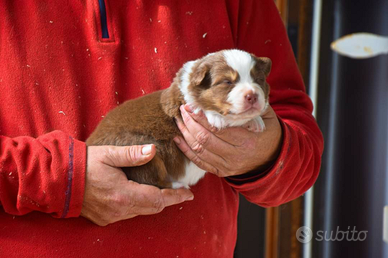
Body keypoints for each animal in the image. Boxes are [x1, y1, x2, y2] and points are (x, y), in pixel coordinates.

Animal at [86, 49, 272, 188]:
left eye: (258, 79)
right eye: (227, 82)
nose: (252, 96)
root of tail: (91, 142)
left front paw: (256, 121)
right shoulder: (178, 104)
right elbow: (201, 108)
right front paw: (216, 118)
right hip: (147, 152)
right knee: (150, 181)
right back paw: (177, 185)